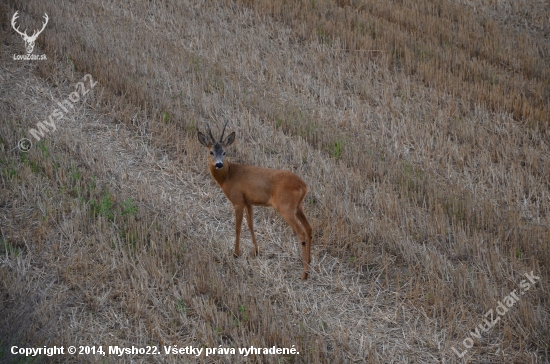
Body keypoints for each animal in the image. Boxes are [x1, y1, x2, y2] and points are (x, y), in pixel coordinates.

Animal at [198, 121, 312, 278]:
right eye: (211, 152)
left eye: (224, 152)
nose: (219, 164)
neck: (228, 176)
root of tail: (304, 186)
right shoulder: (249, 202)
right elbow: (251, 225)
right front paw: (256, 251)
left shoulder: (238, 201)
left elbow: (238, 227)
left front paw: (236, 253)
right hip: (298, 206)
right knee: (309, 228)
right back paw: (310, 262)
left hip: (286, 207)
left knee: (301, 233)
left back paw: (304, 274)